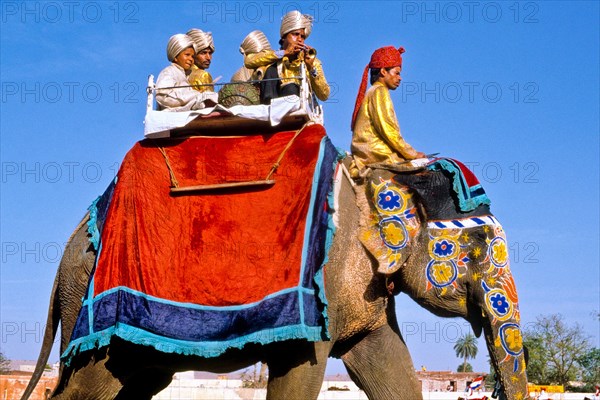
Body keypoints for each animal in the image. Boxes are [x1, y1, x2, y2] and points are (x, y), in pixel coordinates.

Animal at [18, 132, 524, 400]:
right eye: (479, 243)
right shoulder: (325, 281)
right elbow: (302, 370)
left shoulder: (366, 290)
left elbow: (388, 365)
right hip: (94, 308)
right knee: (90, 384)